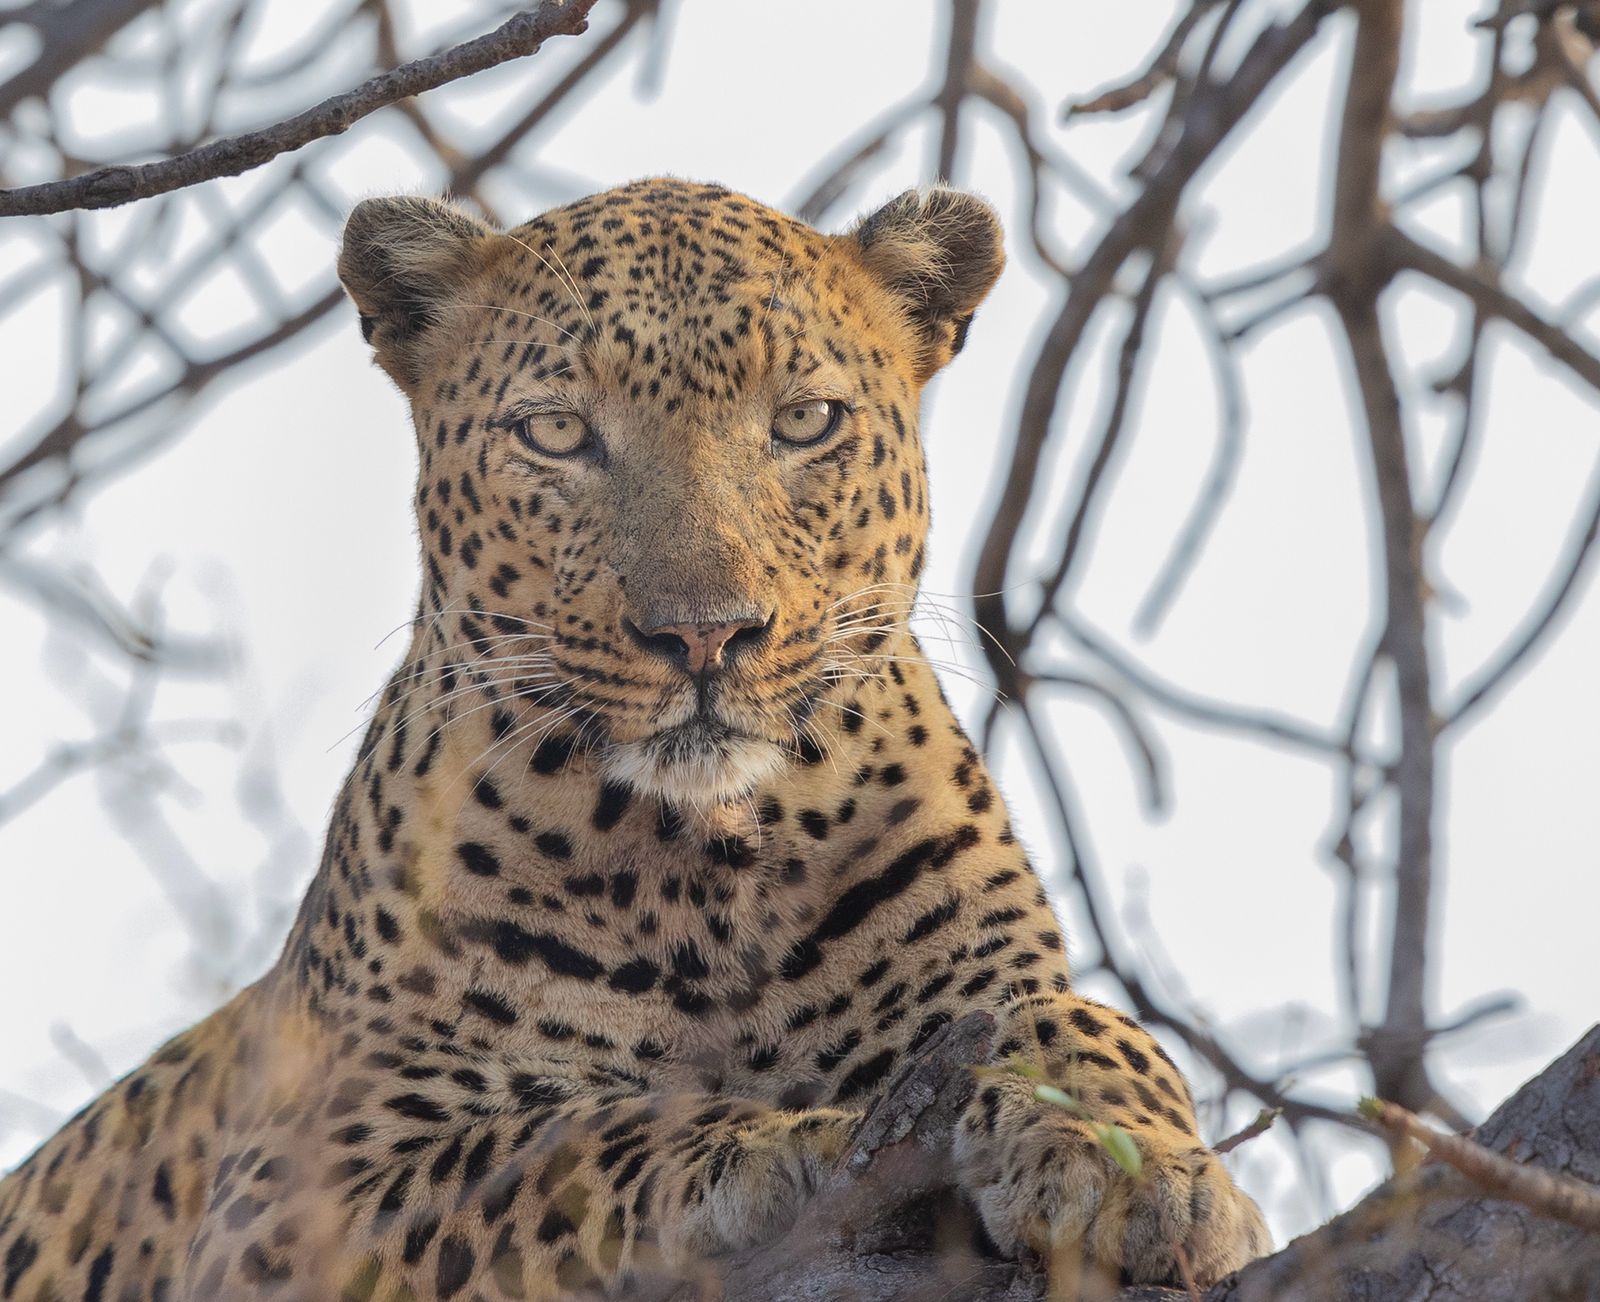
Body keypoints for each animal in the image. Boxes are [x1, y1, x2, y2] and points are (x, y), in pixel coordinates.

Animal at [0, 177, 1269, 1300]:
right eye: (558, 433)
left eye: (804, 421)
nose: (705, 635)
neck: (712, 873)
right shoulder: (292, 1196)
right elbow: (555, 1142)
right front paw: (775, 1146)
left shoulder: (990, 985)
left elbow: (1090, 1023)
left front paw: (1144, 1169)